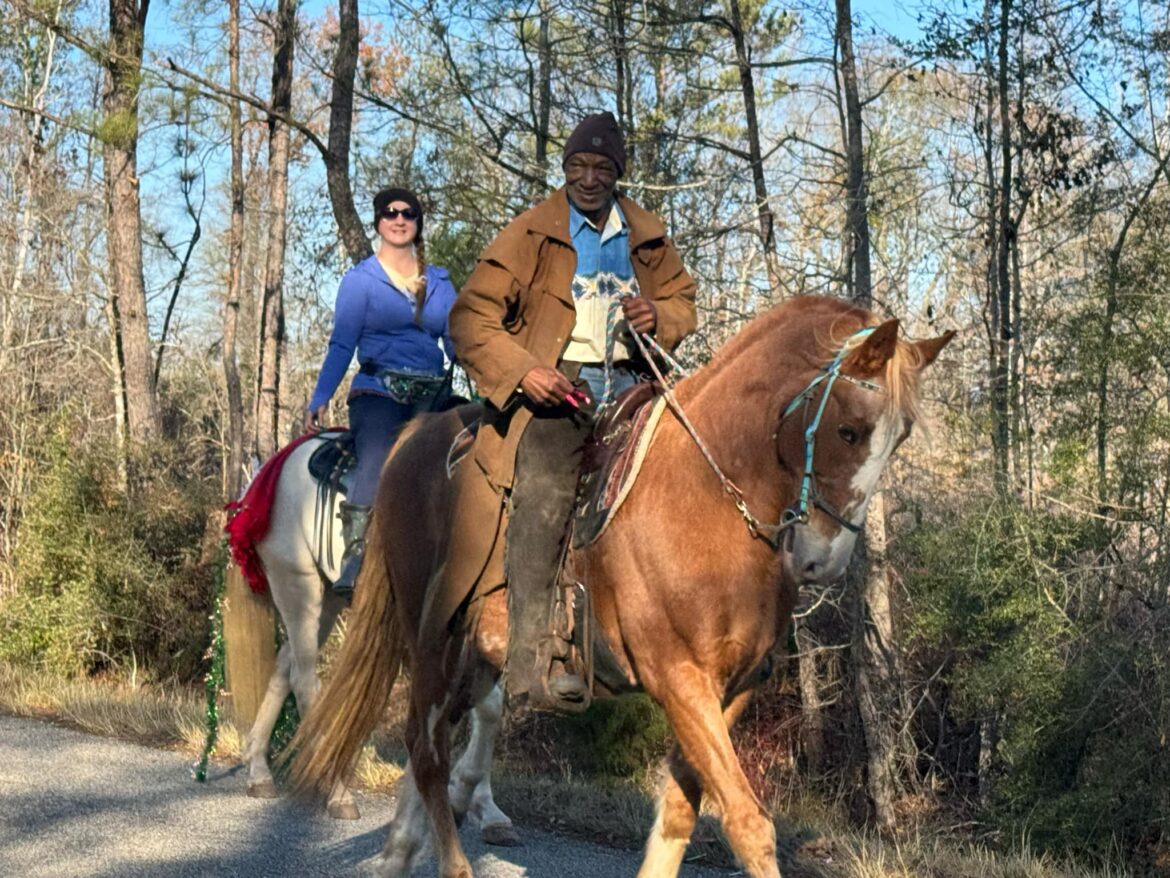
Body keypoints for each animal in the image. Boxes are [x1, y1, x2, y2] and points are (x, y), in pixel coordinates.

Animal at [230, 433, 520, 843]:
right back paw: (336, 789)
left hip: (327, 596)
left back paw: (258, 769)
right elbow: (483, 705)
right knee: (304, 680)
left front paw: (486, 809)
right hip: (297, 586)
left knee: (284, 666)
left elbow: (487, 707)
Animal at [288, 295, 953, 878]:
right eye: (849, 430)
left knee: (435, 743)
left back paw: (401, 850)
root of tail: (415, 438)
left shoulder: (730, 691)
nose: (824, 561)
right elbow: (747, 824)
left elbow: (681, 814)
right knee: (425, 753)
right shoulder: (679, 678)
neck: (708, 499)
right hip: (432, 639)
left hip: (475, 654)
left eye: (901, 436)